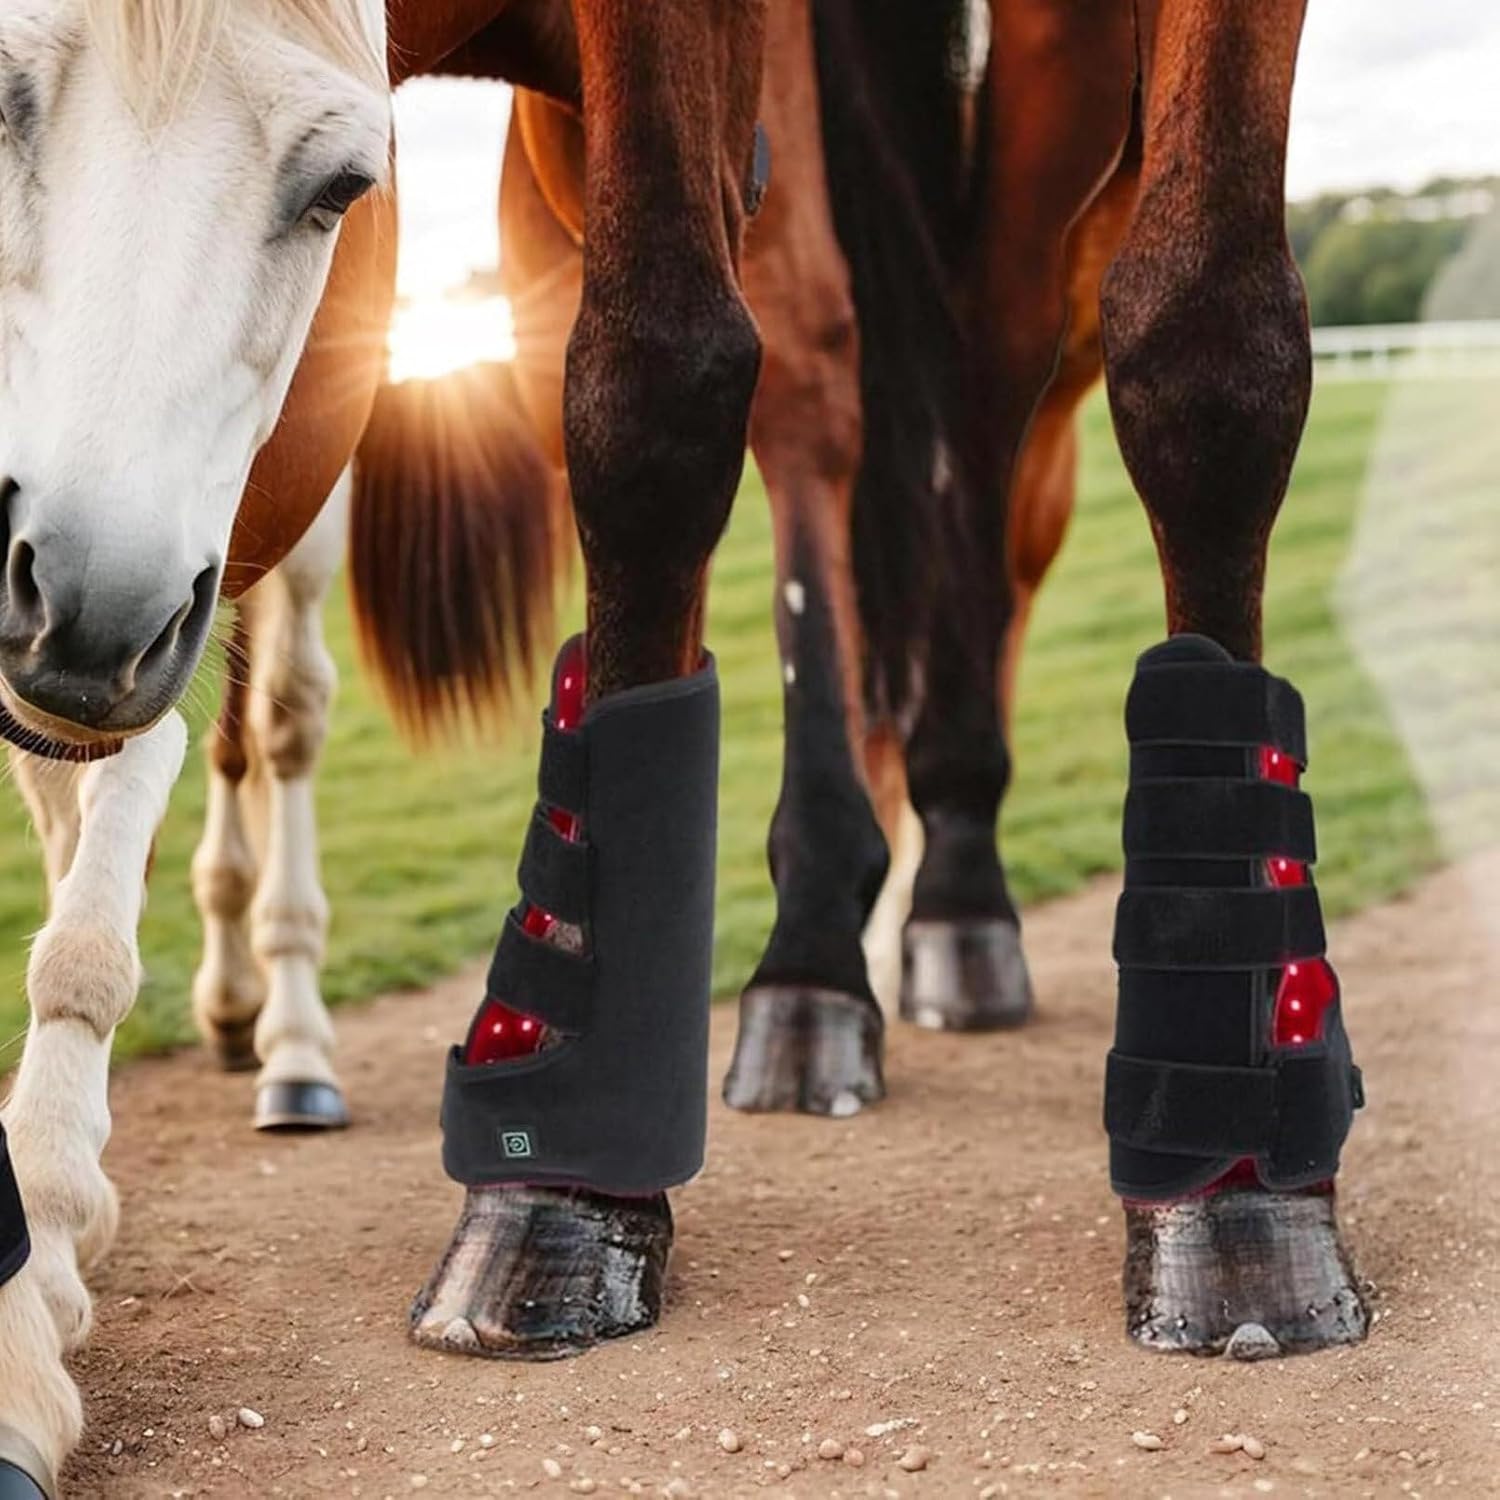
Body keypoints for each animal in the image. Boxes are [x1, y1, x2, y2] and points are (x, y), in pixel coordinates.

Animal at [0, 0, 1363, 1492]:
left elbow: (1201, 353)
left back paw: (928, 909)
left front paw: (1238, 1201)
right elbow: (644, 398)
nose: (85, 609)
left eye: (342, 187)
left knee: (976, 374)